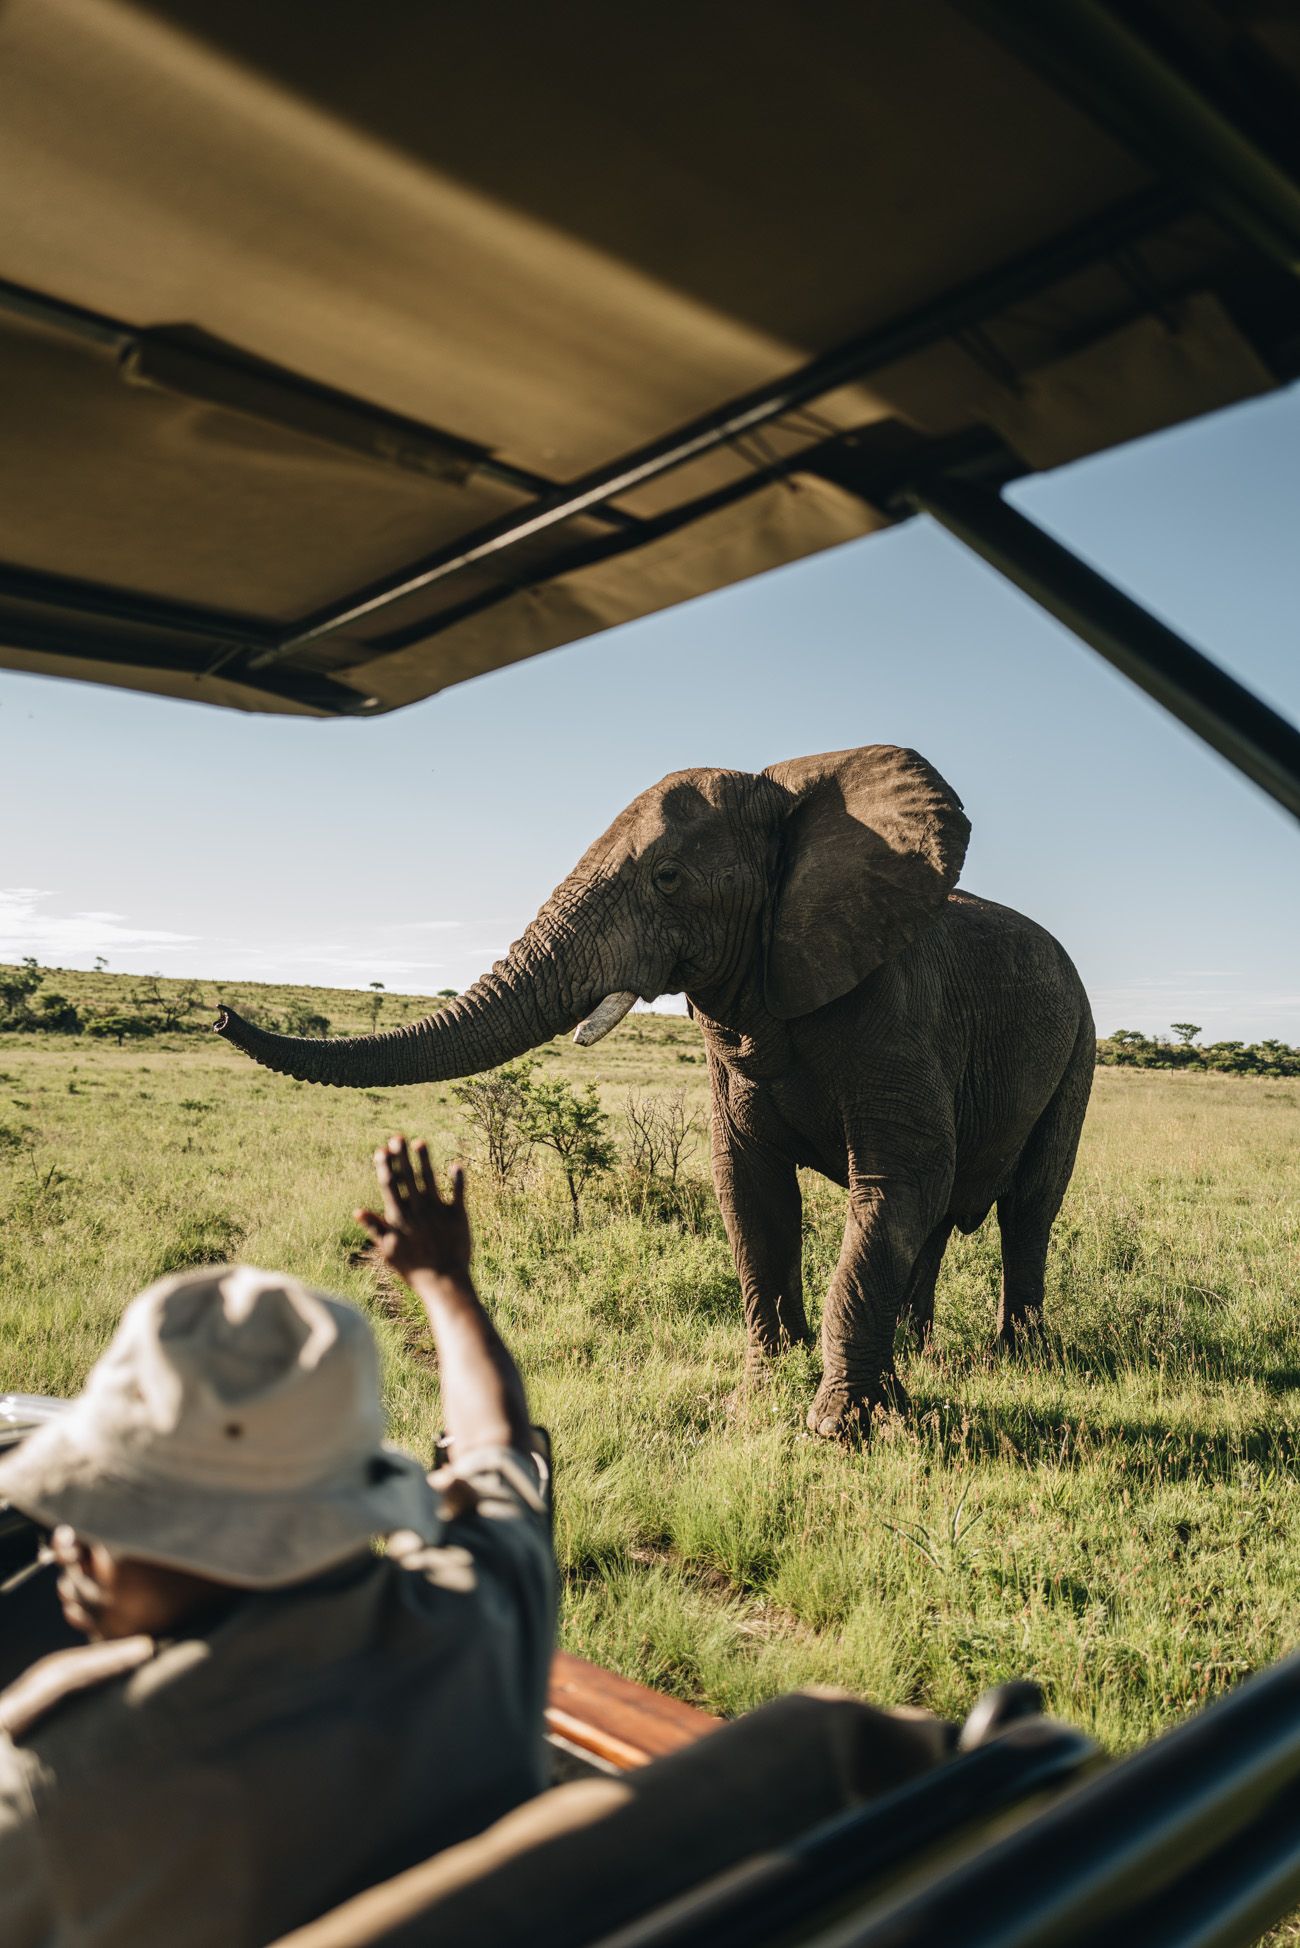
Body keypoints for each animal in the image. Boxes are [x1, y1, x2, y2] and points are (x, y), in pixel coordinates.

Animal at [218, 740, 1091, 1433]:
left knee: (1027, 1206)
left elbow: (893, 1184)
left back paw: (1019, 1360)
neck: (791, 797)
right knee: (943, 1219)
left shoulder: (899, 1007)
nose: (223, 1011)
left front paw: (843, 1430)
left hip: (1077, 1043)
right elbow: (751, 1195)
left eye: (668, 877)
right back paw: (923, 1352)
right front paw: (758, 1402)